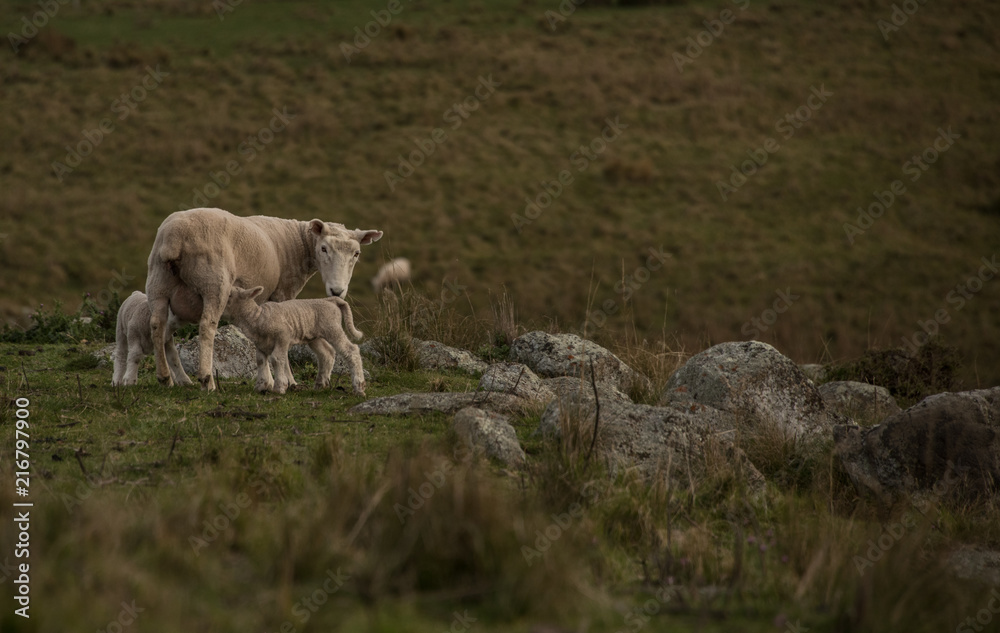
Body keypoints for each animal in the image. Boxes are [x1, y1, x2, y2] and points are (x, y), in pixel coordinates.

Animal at [224, 286, 366, 396]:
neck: (258, 317)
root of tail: (330, 300)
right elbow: (260, 360)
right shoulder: (261, 344)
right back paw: (320, 384)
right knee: (326, 353)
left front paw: (280, 387)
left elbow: (276, 359)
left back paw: (359, 387)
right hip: (315, 336)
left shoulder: (283, 336)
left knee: (351, 350)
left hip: (332, 328)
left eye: (230, 295)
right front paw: (261, 386)